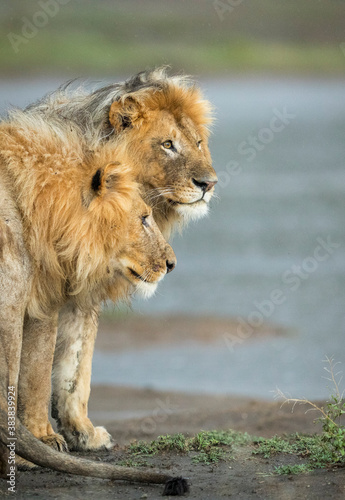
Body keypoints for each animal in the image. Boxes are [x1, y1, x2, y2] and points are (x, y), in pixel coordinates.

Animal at [24, 66, 218, 454]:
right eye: (168, 144)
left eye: (198, 143)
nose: (209, 183)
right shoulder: (42, 285)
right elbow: (35, 367)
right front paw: (41, 439)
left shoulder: (83, 292)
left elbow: (75, 365)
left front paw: (81, 432)